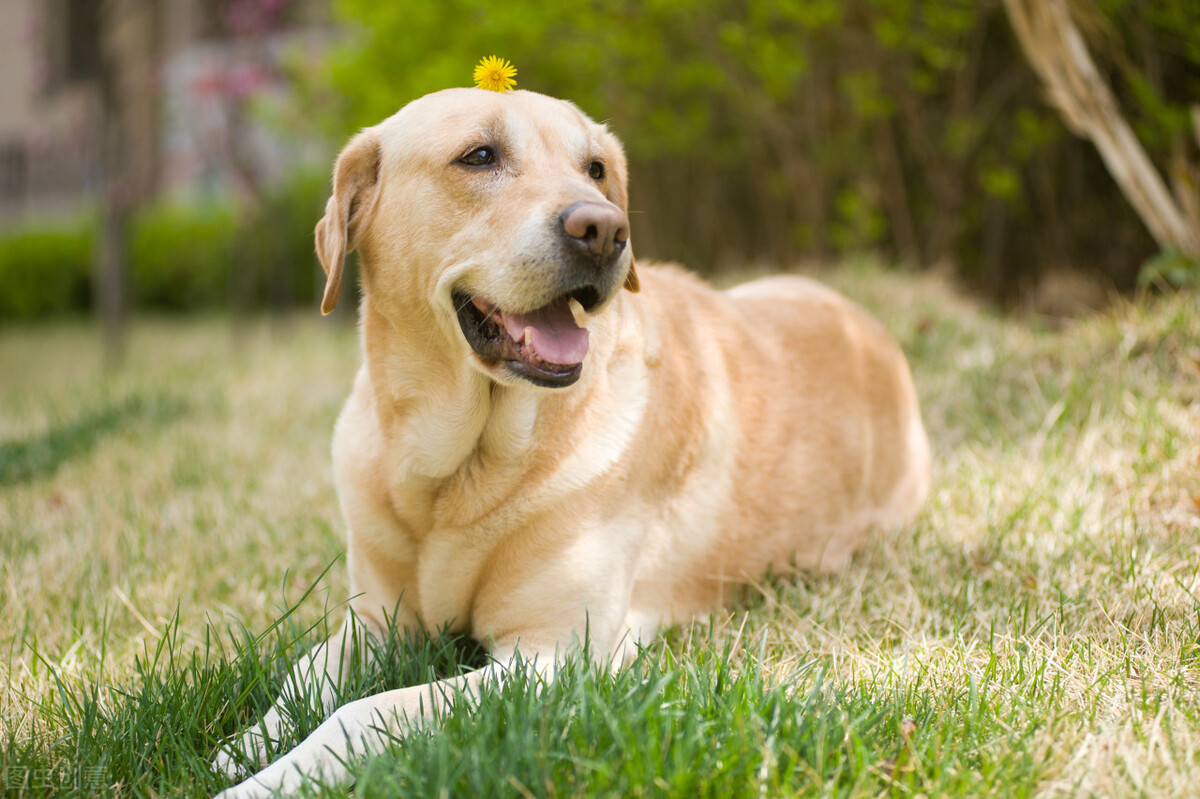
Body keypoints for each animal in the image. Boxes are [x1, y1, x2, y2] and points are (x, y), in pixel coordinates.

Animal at [213, 83, 926, 791]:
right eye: (479, 156)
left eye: (597, 169)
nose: (606, 230)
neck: (458, 469)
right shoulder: (374, 622)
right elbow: (301, 678)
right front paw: (239, 746)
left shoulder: (550, 657)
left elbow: (365, 711)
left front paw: (262, 781)